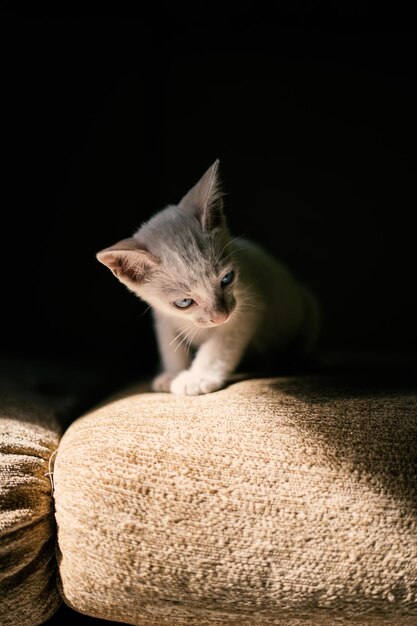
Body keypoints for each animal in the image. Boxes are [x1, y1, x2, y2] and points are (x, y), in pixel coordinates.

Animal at [96, 158, 320, 392]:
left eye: (227, 278)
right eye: (184, 302)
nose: (221, 317)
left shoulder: (248, 307)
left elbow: (219, 346)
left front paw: (197, 377)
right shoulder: (163, 317)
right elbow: (171, 347)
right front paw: (173, 373)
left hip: (308, 305)